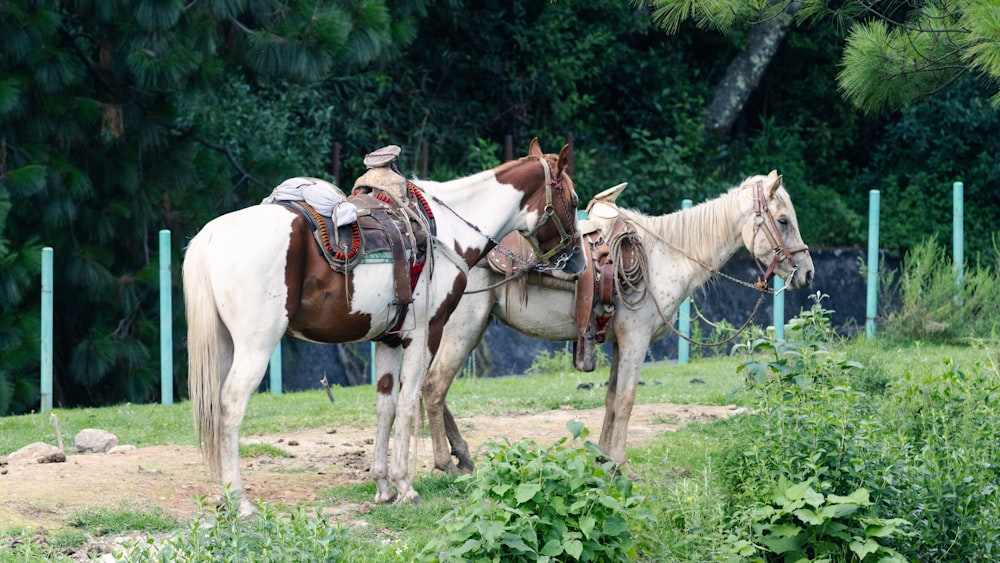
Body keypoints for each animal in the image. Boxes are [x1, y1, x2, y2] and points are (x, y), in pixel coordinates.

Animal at [185, 139, 584, 512]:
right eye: (575, 200)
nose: (577, 262)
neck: (448, 230)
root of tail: (211, 235)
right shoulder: (425, 335)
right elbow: (409, 402)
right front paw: (406, 487)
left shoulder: (388, 339)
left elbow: (385, 406)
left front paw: (383, 487)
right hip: (256, 345)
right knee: (230, 406)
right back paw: (241, 502)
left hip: (225, 346)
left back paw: (225, 498)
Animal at [420, 172, 812, 476]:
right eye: (782, 220)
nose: (807, 273)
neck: (662, 257)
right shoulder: (636, 339)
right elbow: (626, 399)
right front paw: (620, 464)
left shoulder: (619, 341)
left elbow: (610, 398)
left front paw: (604, 459)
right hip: (464, 329)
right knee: (434, 387)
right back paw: (447, 464)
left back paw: (463, 456)